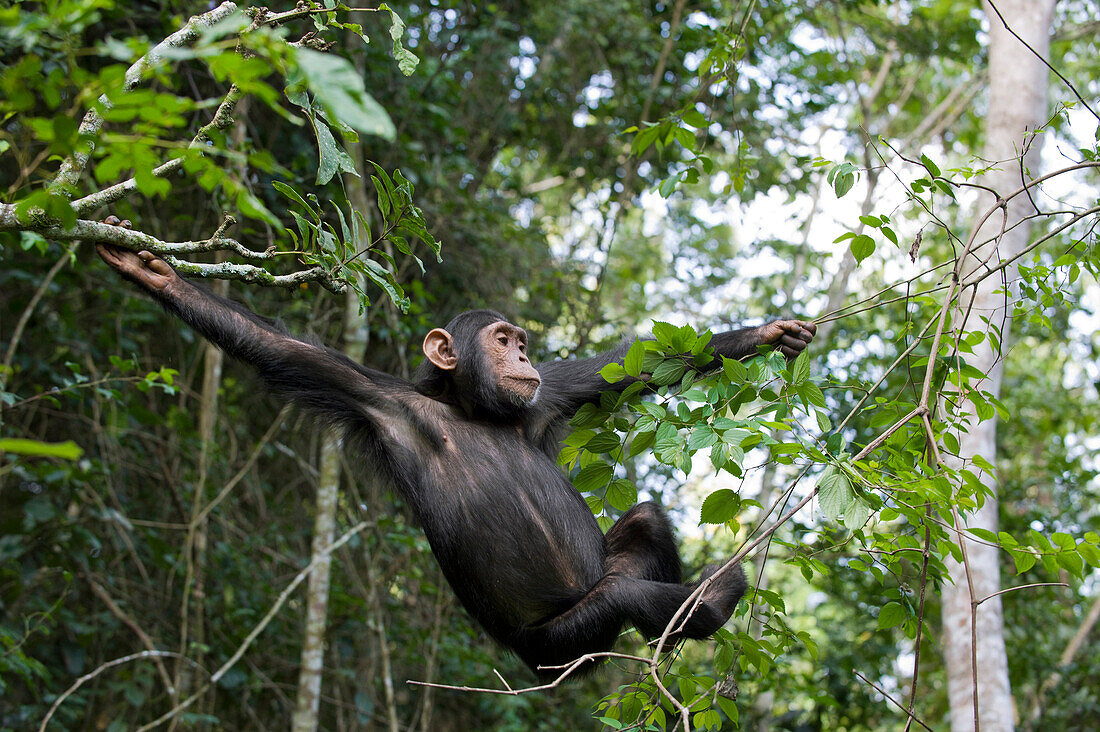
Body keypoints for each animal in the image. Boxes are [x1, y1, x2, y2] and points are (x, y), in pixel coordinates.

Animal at [96, 217, 818, 678]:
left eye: (522, 343)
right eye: (501, 340)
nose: (522, 355)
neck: (473, 410)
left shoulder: (551, 393)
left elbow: (627, 370)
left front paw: (768, 333)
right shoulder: (374, 398)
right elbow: (280, 351)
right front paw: (157, 278)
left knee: (642, 525)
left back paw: (671, 635)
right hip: (559, 641)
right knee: (624, 601)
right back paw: (705, 606)